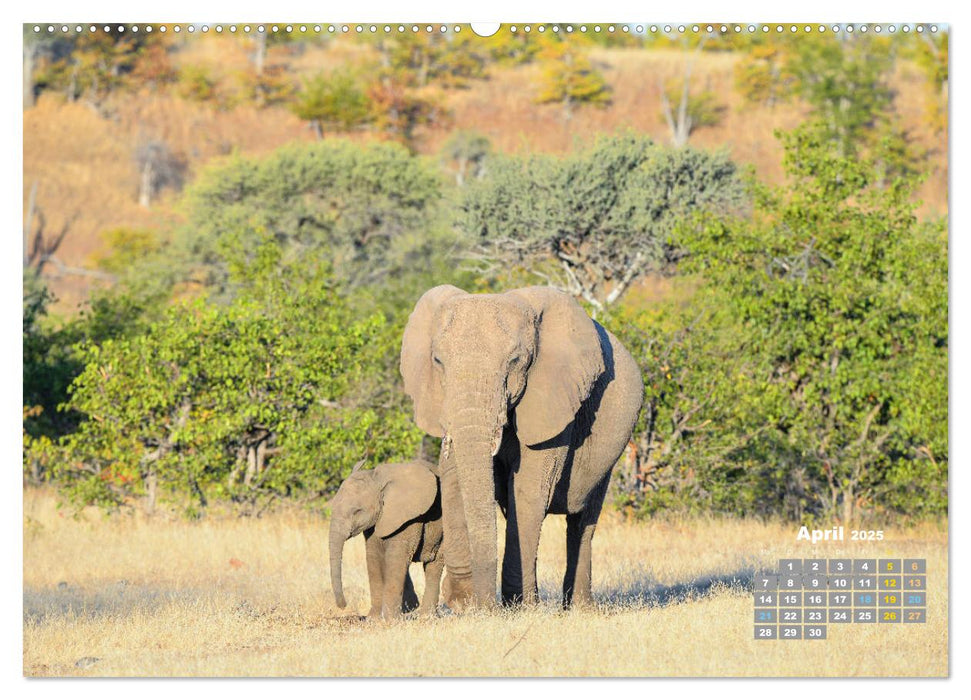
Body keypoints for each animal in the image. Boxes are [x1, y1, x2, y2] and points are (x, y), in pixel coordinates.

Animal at [330, 460, 444, 616]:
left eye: (357, 511)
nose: (343, 606)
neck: (378, 480)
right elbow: (373, 557)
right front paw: (374, 618)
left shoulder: (409, 517)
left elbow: (396, 557)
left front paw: (390, 619)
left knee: (434, 565)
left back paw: (425, 616)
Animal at [398, 284, 640, 608]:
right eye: (437, 361)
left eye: (515, 361)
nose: (485, 603)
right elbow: (454, 479)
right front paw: (465, 603)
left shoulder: (555, 401)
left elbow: (528, 490)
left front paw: (519, 607)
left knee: (582, 520)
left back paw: (578, 608)